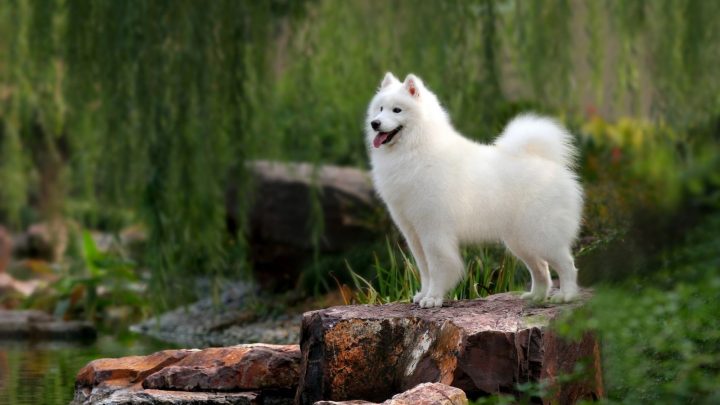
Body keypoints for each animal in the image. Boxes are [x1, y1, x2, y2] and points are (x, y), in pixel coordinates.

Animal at [366, 72, 584, 306]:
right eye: (380, 108)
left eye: (397, 110)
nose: (374, 123)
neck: (415, 150)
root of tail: (548, 162)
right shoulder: (413, 232)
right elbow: (424, 269)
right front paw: (422, 295)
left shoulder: (433, 230)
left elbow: (437, 267)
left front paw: (433, 298)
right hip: (521, 241)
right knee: (541, 268)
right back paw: (536, 296)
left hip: (541, 235)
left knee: (567, 265)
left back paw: (566, 296)